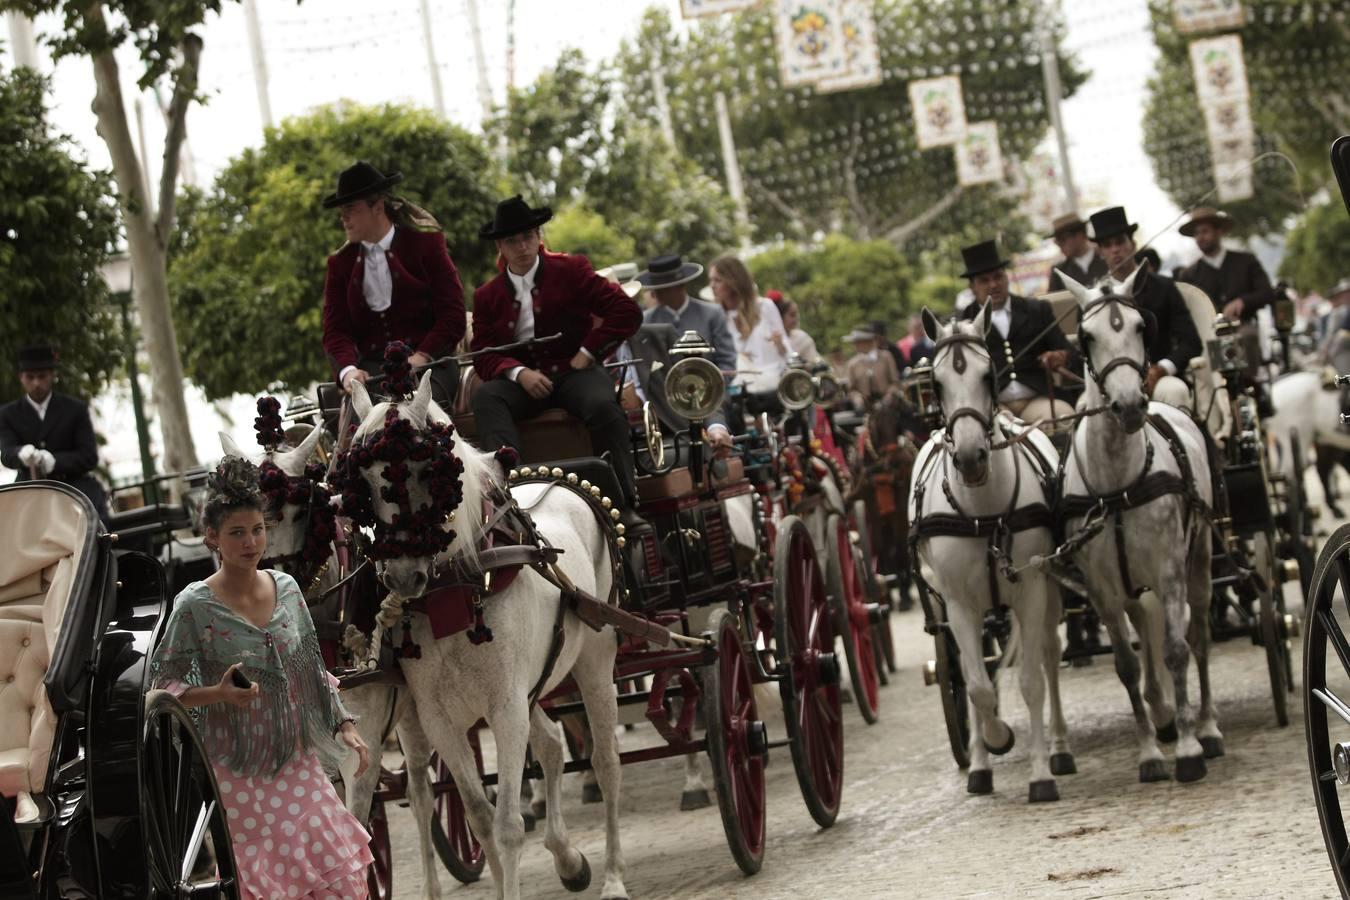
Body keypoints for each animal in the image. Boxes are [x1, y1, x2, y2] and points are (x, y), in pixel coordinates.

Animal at [342, 372, 626, 900]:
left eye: (424, 470)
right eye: (364, 483)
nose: (402, 577)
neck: (457, 584)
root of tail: (560, 481)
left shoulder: (505, 707)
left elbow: (508, 825)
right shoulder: (440, 718)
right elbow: (478, 814)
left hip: (596, 658)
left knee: (605, 761)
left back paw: (614, 876)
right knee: (552, 743)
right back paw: (570, 860)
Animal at [907, 304, 1074, 804]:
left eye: (988, 375)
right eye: (936, 382)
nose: (970, 458)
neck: (985, 513)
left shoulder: (1033, 589)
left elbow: (1033, 680)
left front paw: (1041, 775)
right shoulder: (959, 604)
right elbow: (978, 686)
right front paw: (995, 742)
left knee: (1048, 655)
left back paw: (1059, 748)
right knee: (969, 669)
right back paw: (981, 763)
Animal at [1058, 267, 1220, 782]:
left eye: (1138, 326)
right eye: (1086, 336)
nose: (1130, 405)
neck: (1117, 484)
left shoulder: (1169, 571)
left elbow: (1176, 650)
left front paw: (1188, 749)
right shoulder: (1103, 588)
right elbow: (1128, 664)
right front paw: (1150, 753)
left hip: (1200, 558)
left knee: (1200, 634)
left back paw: (1206, 726)